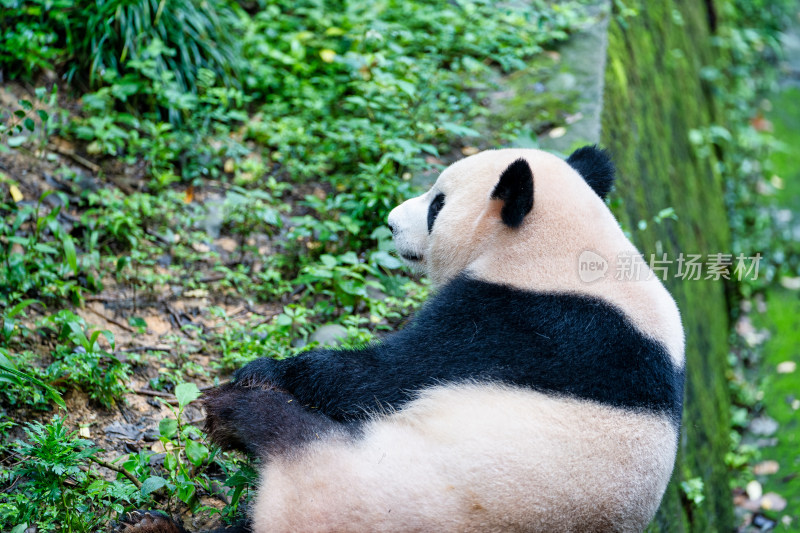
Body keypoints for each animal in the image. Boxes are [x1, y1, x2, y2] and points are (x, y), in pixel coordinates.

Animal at [115, 145, 684, 532]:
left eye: (436, 204)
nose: (390, 223)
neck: (567, 250)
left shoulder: (518, 323)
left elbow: (384, 375)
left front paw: (269, 369)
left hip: (361, 484)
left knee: (294, 441)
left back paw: (235, 415)